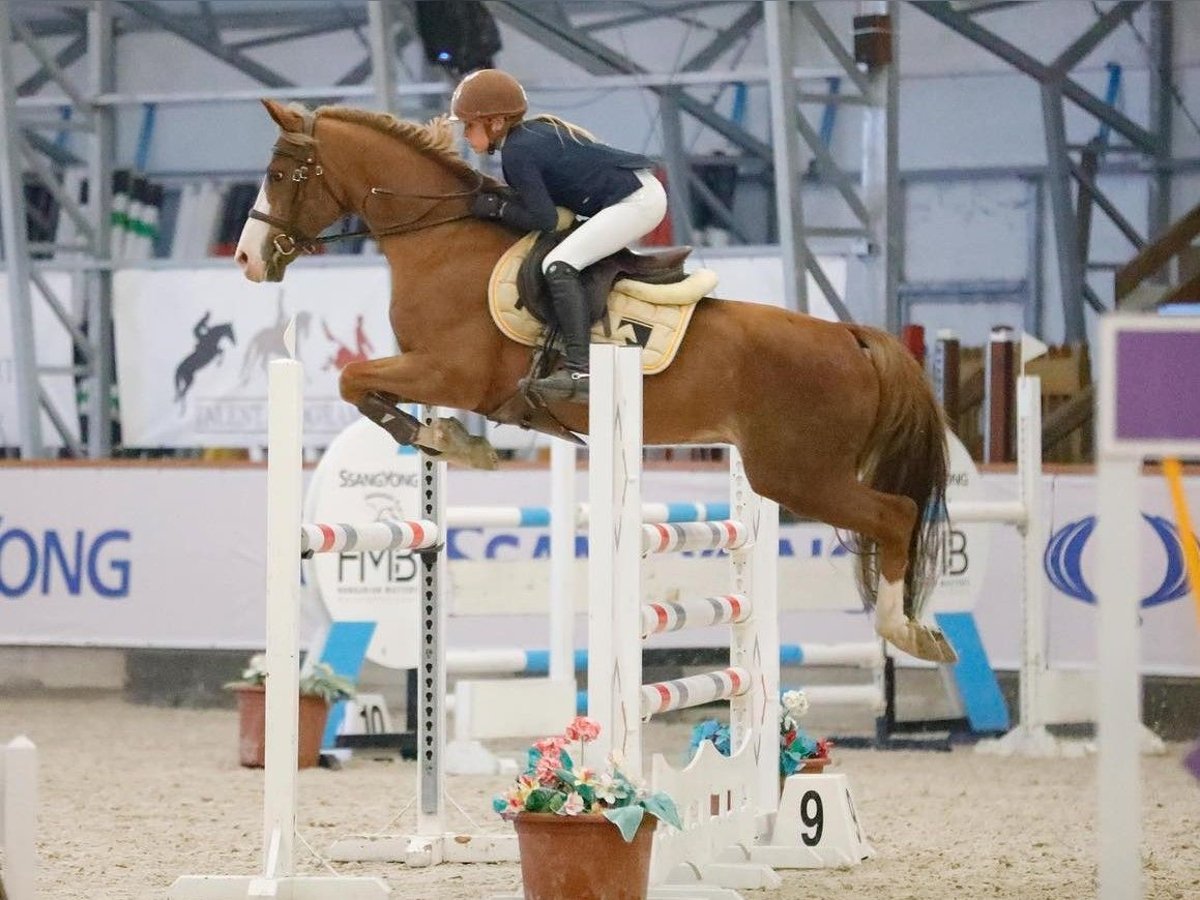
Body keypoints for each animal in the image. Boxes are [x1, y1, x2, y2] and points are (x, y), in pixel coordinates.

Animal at [236, 100, 955, 662]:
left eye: (278, 175)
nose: (246, 259)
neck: (439, 240)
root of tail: (852, 337)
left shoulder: (450, 372)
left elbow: (354, 380)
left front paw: (447, 439)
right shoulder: (432, 372)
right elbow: (363, 386)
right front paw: (448, 439)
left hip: (797, 473)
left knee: (896, 515)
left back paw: (907, 631)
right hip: (791, 472)